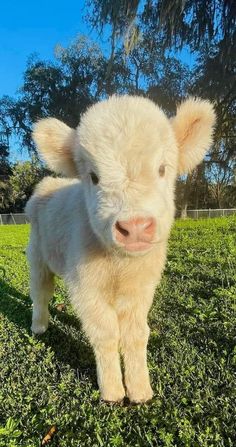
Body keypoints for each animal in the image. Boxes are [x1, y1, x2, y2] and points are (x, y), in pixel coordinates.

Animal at [25, 96, 216, 404]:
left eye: (162, 168)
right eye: (93, 177)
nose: (135, 226)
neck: (120, 265)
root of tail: (50, 183)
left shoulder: (142, 288)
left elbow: (136, 335)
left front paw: (140, 391)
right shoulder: (85, 288)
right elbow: (105, 335)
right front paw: (113, 392)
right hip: (37, 257)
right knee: (40, 293)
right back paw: (39, 326)